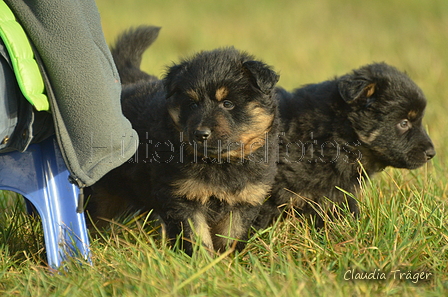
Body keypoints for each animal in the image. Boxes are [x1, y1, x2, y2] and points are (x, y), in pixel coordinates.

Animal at [88, 26, 280, 252]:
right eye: (193, 104)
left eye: (228, 103)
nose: (201, 134)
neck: (220, 163)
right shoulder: (183, 196)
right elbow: (197, 236)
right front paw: (202, 259)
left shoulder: (245, 199)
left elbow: (231, 237)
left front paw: (226, 259)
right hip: (103, 191)